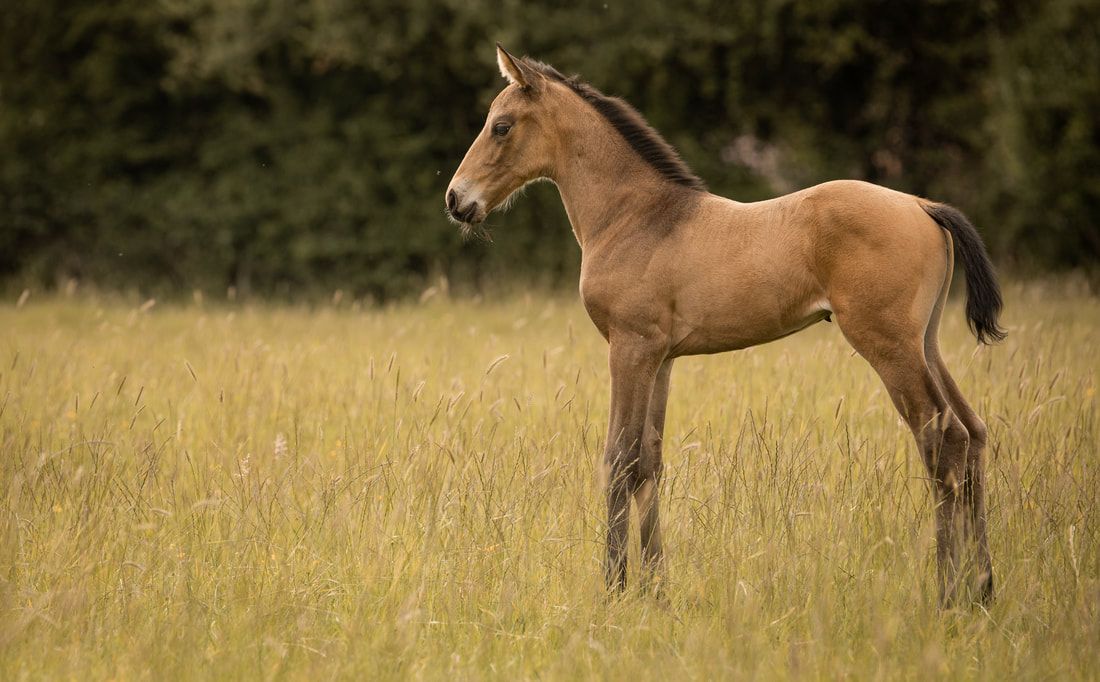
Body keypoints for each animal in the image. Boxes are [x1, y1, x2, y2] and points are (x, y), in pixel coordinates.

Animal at [445, 45, 1004, 606]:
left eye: (501, 126)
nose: (456, 199)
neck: (636, 217)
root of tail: (922, 206)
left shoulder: (629, 348)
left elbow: (619, 458)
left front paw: (615, 586)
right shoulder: (661, 359)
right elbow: (649, 459)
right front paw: (655, 589)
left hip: (887, 345)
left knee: (941, 437)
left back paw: (948, 592)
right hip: (925, 343)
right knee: (973, 434)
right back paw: (982, 588)